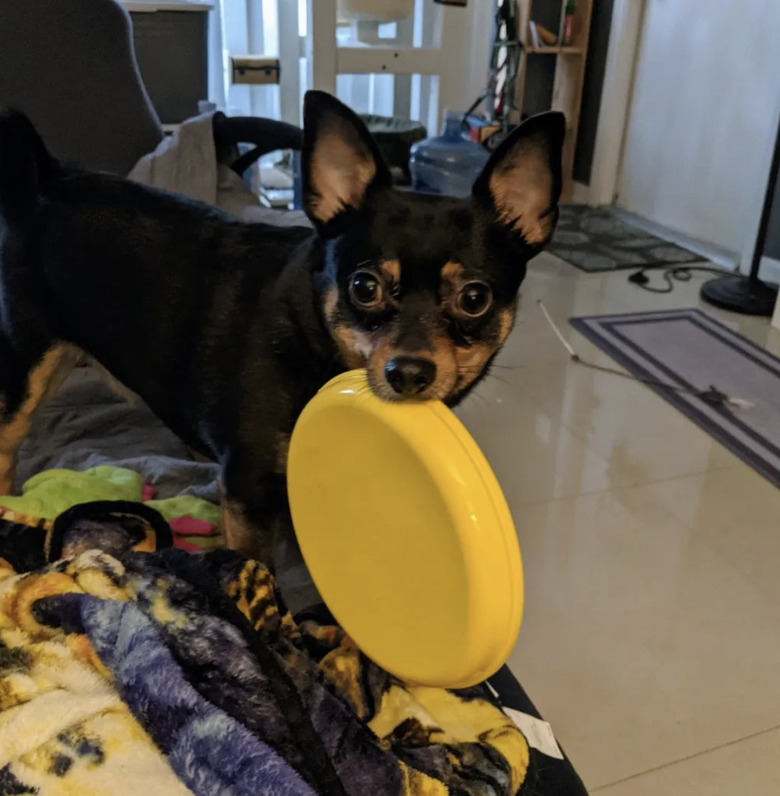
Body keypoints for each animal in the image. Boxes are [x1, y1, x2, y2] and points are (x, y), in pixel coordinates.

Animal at [0, 91, 564, 560]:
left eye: (475, 299)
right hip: (23, 378)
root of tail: (47, 178)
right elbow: (260, 575)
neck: (317, 346)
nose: (408, 372)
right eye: (364, 287)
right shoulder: (250, 493)